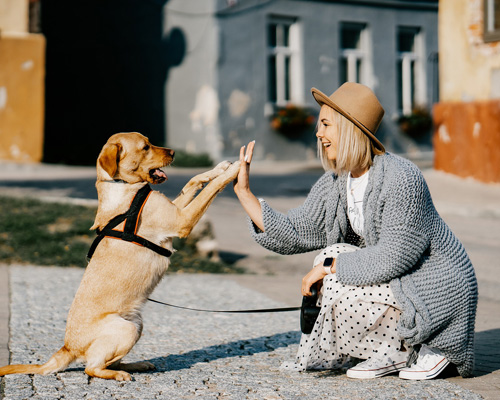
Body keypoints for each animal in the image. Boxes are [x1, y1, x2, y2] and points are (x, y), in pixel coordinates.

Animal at [0, 132, 242, 382]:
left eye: (150, 142)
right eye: (145, 147)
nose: (174, 152)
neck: (124, 186)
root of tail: (68, 347)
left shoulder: (176, 209)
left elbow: (194, 181)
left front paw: (220, 167)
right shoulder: (181, 220)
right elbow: (210, 189)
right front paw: (235, 169)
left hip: (136, 324)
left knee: (109, 362)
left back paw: (136, 365)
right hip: (126, 329)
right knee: (91, 367)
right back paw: (119, 375)